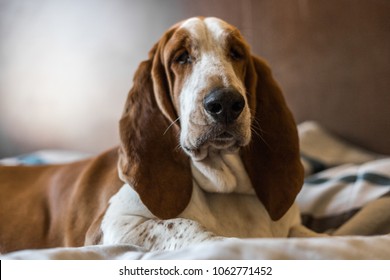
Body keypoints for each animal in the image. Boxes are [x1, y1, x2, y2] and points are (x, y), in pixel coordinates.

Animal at [0, 17, 316, 254]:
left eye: (236, 53)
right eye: (182, 57)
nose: (225, 102)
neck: (222, 187)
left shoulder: (294, 228)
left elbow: (314, 237)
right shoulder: (113, 226)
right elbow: (193, 228)